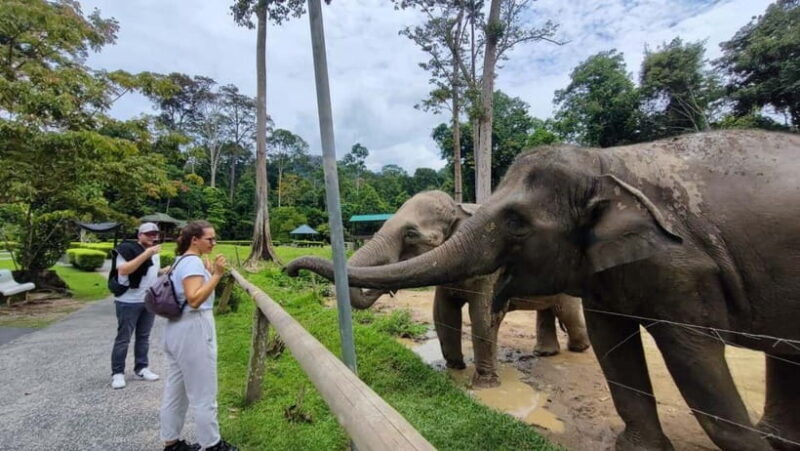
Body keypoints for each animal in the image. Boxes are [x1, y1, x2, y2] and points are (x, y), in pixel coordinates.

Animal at [345, 190, 590, 387]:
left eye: (411, 233)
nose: (387, 291)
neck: (458, 207)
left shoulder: (490, 268)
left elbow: (482, 317)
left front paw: (485, 385)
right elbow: (443, 312)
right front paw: (454, 368)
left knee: (566, 311)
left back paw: (579, 349)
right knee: (548, 310)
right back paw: (546, 353)